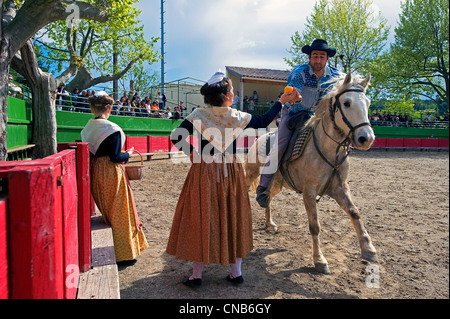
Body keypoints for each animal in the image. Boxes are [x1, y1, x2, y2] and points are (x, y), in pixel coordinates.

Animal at [244, 73, 378, 276]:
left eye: (368, 103)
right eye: (346, 103)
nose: (366, 138)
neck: (328, 148)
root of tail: (260, 138)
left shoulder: (340, 187)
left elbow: (355, 213)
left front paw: (368, 249)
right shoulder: (309, 191)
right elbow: (315, 226)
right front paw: (319, 260)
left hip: (276, 184)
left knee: (267, 199)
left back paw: (270, 224)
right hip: (251, 174)